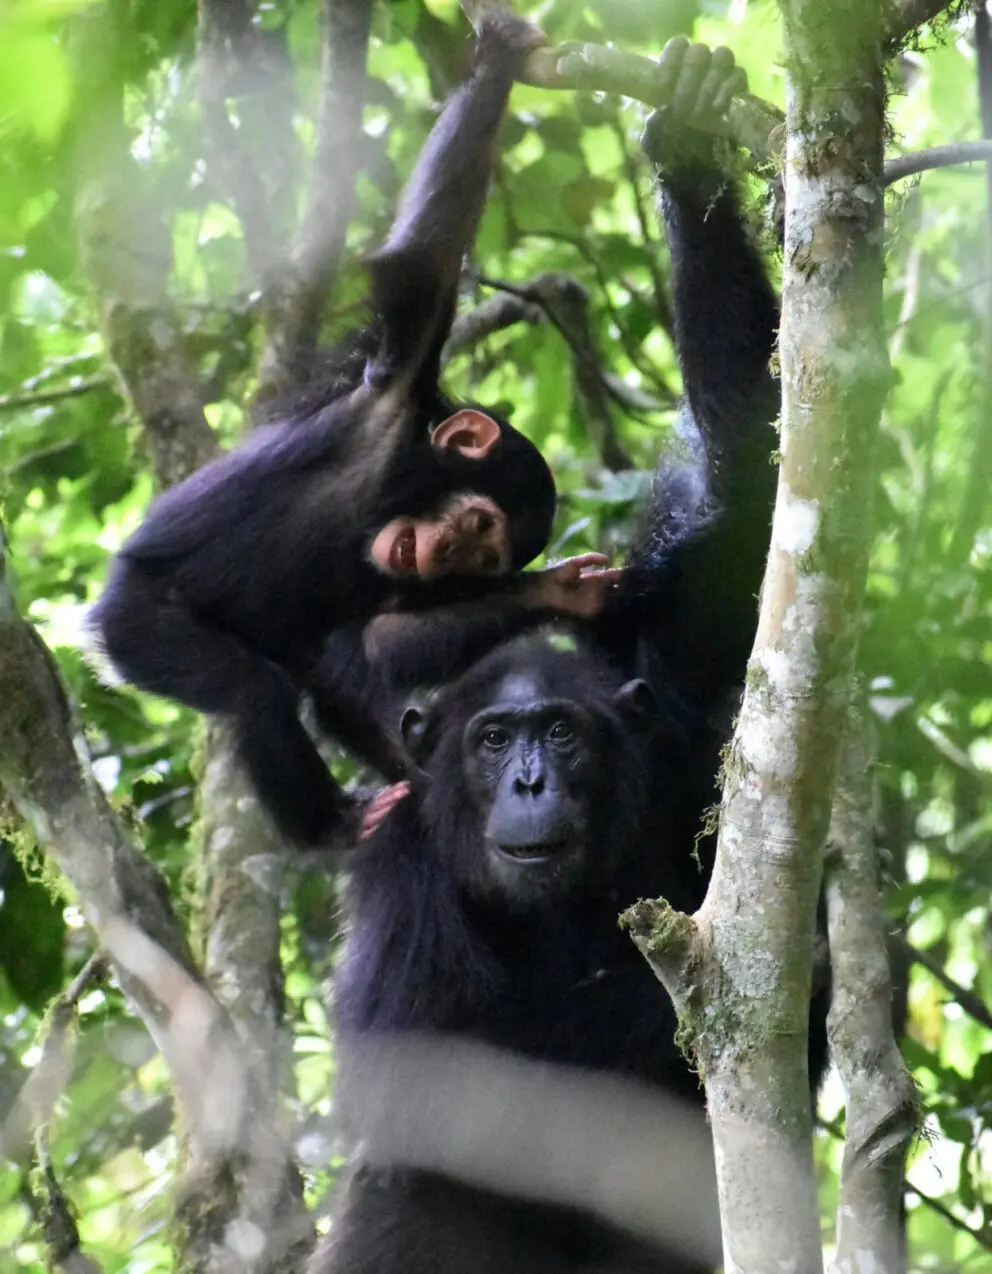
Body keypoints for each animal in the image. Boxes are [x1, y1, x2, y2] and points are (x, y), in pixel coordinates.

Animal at [87, 9, 621, 851]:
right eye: (476, 526)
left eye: (483, 558)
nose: (445, 554)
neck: (390, 492)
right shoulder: (393, 395)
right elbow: (424, 263)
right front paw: (498, 60)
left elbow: (384, 638)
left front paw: (560, 595)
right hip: (132, 618)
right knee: (252, 691)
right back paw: (330, 824)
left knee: (330, 676)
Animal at [315, 37, 830, 1274]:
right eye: (493, 737)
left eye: (559, 731)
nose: (528, 778)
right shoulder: (398, 859)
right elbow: (422, 1075)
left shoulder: (687, 699)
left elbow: (752, 503)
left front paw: (683, 132)